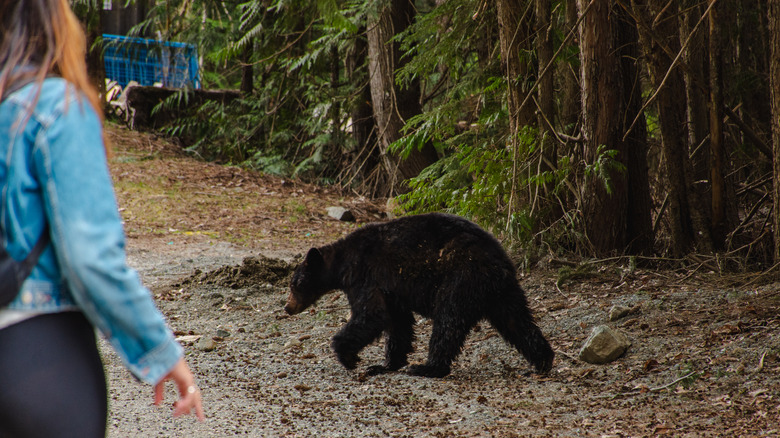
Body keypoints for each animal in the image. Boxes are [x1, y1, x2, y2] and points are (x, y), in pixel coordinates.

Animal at [286, 212, 556, 376]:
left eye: (295, 284)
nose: (287, 308)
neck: (341, 262)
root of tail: (499, 263)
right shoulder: (391, 289)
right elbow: (398, 322)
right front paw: (385, 364)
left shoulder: (364, 275)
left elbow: (371, 315)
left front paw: (349, 356)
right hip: (503, 292)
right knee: (517, 322)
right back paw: (543, 361)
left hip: (461, 278)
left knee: (448, 321)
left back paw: (427, 367)